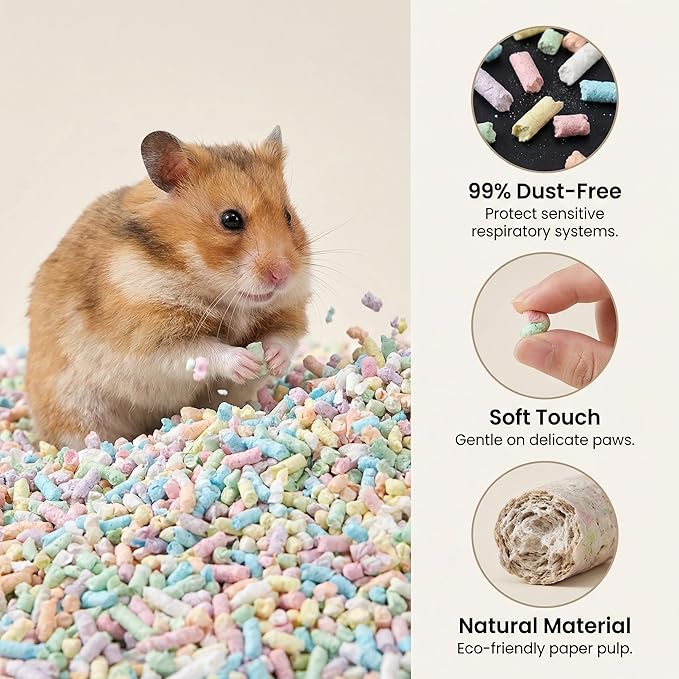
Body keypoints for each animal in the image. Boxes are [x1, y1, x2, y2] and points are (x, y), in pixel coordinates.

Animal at [26, 127, 311, 449]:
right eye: (230, 219)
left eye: (288, 215)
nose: (282, 275)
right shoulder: (152, 339)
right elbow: (203, 351)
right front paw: (247, 362)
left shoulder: (289, 310)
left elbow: (282, 336)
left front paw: (273, 361)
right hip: (77, 411)